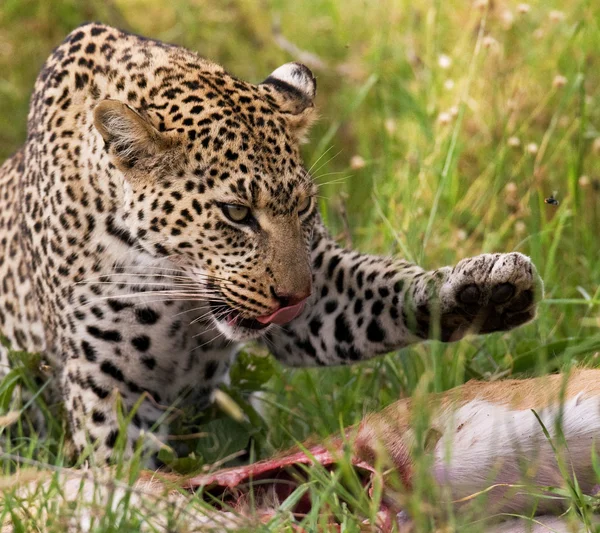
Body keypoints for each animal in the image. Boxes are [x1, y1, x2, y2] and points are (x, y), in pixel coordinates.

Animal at [0, 22, 544, 462]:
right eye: (237, 213)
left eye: (302, 207)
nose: (293, 299)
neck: (174, 280)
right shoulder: (107, 384)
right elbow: (125, 474)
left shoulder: (320, 289)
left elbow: (386, 288)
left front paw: (481, 292)